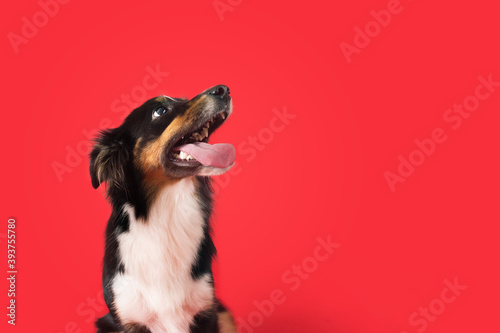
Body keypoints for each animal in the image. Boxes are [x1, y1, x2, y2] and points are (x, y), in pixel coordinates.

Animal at [89, 84, 237, 330]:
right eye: (160, 111)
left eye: (184, 99)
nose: (223, 89)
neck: (166, 212)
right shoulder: (128, 317)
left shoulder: (206, 309)